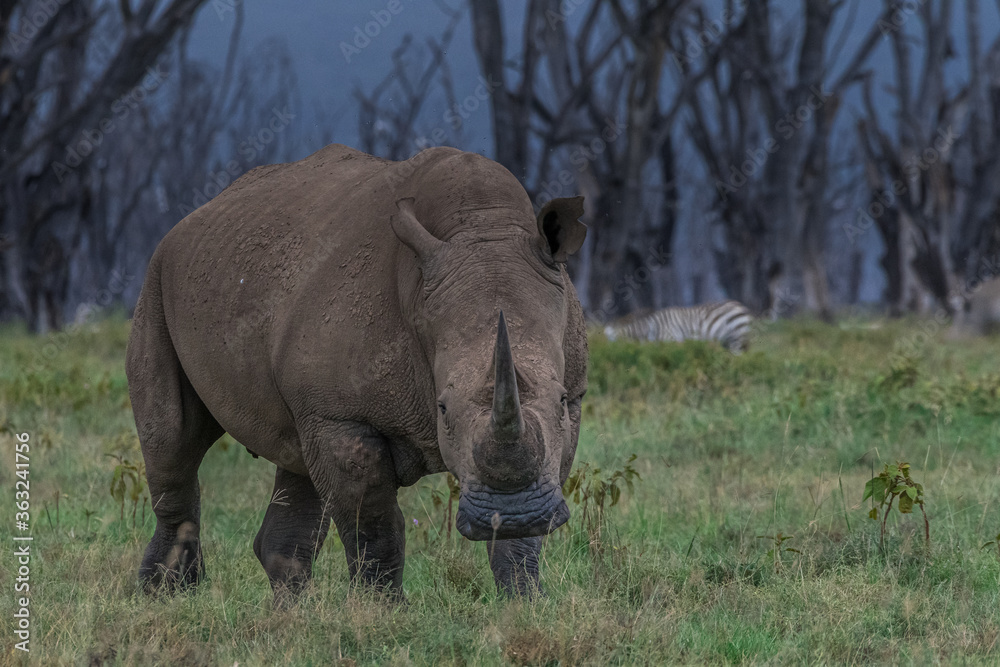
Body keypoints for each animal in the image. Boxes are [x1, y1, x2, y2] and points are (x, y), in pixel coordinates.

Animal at [125, 144, 589, 600]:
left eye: (561, 400)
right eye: (442, 409)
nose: (515, 513)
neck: (480, 226)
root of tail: (197, 214)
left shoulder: (569, 406)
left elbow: (525, 523)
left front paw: (525, 600)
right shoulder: (340, 416)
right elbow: (374, 525)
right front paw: (379, 610)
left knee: (295, 458)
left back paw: (290, 610)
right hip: (157, 278)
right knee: (174, 439)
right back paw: (166, 596)